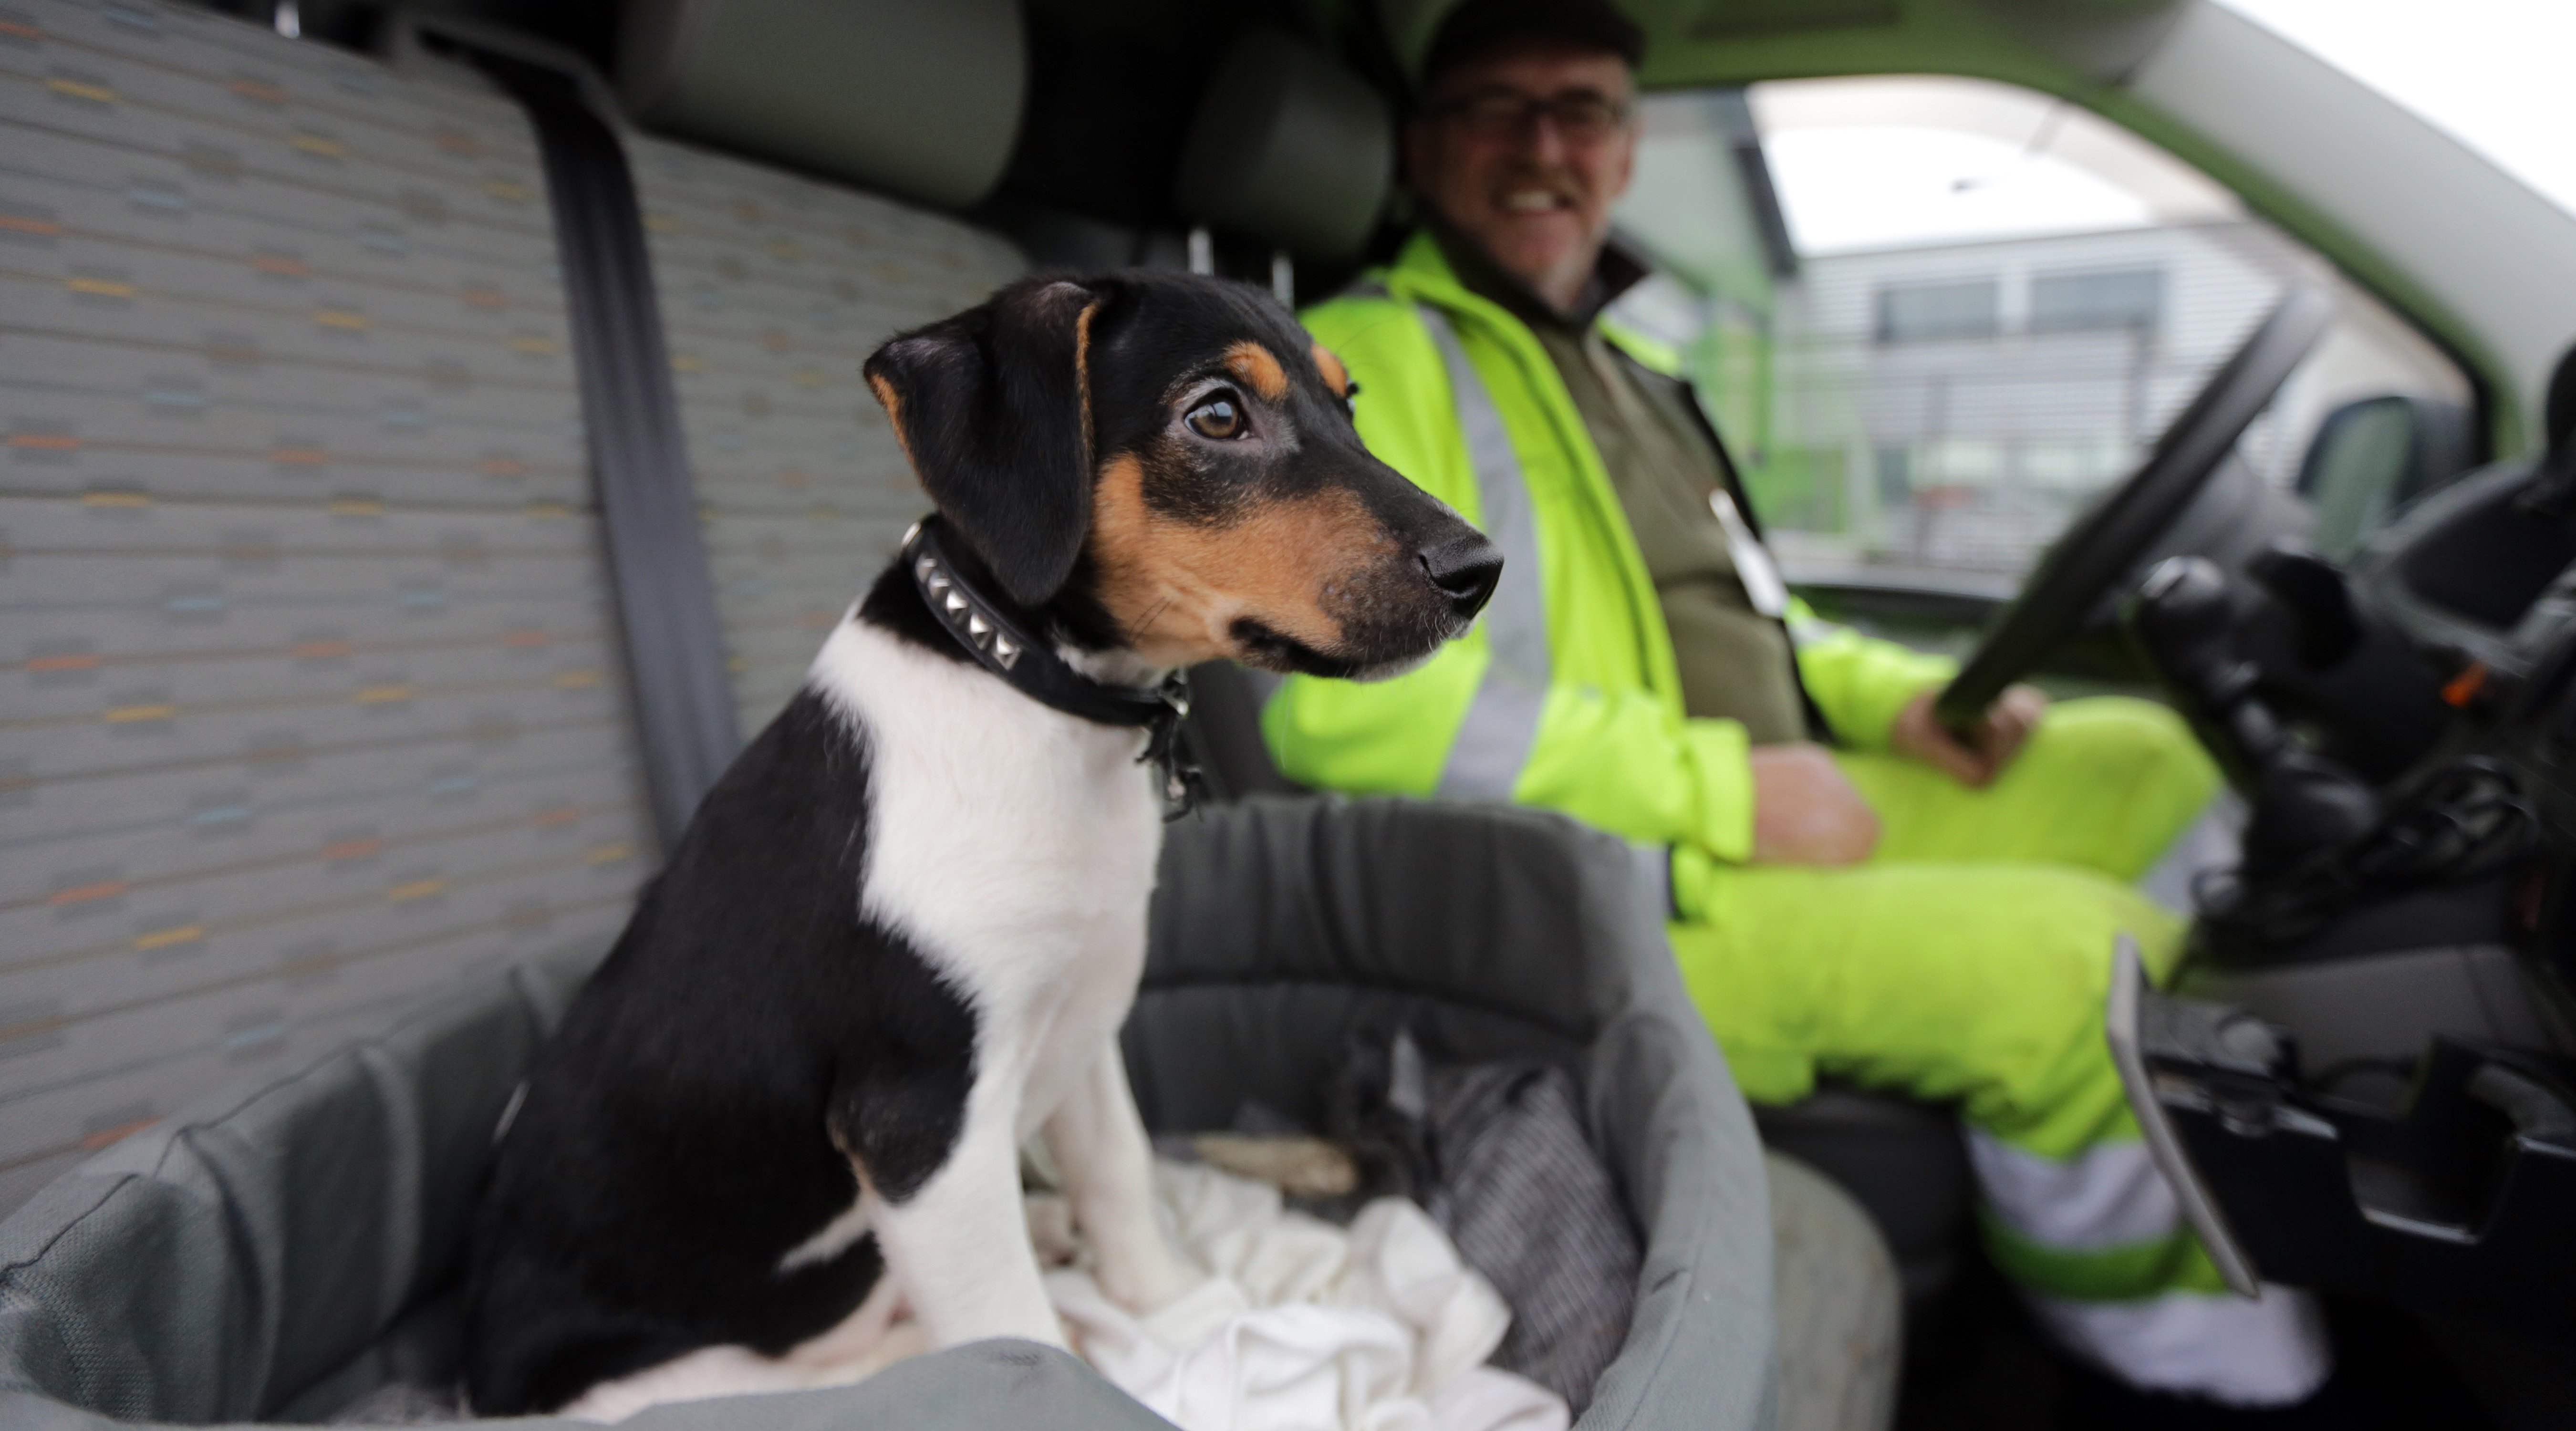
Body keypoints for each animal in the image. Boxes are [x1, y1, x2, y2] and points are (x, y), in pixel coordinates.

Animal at [466, 274, 1504, 1410]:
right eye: (1218, 415)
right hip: (664, 1378)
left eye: (1348, 402)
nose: (1482, 569)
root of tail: (469, 1355)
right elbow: (1010, 1330)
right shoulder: (922, 1129)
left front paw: (1182, 1317)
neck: (1031, 695)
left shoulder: (1082, 1017)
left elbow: (1119, 1176)